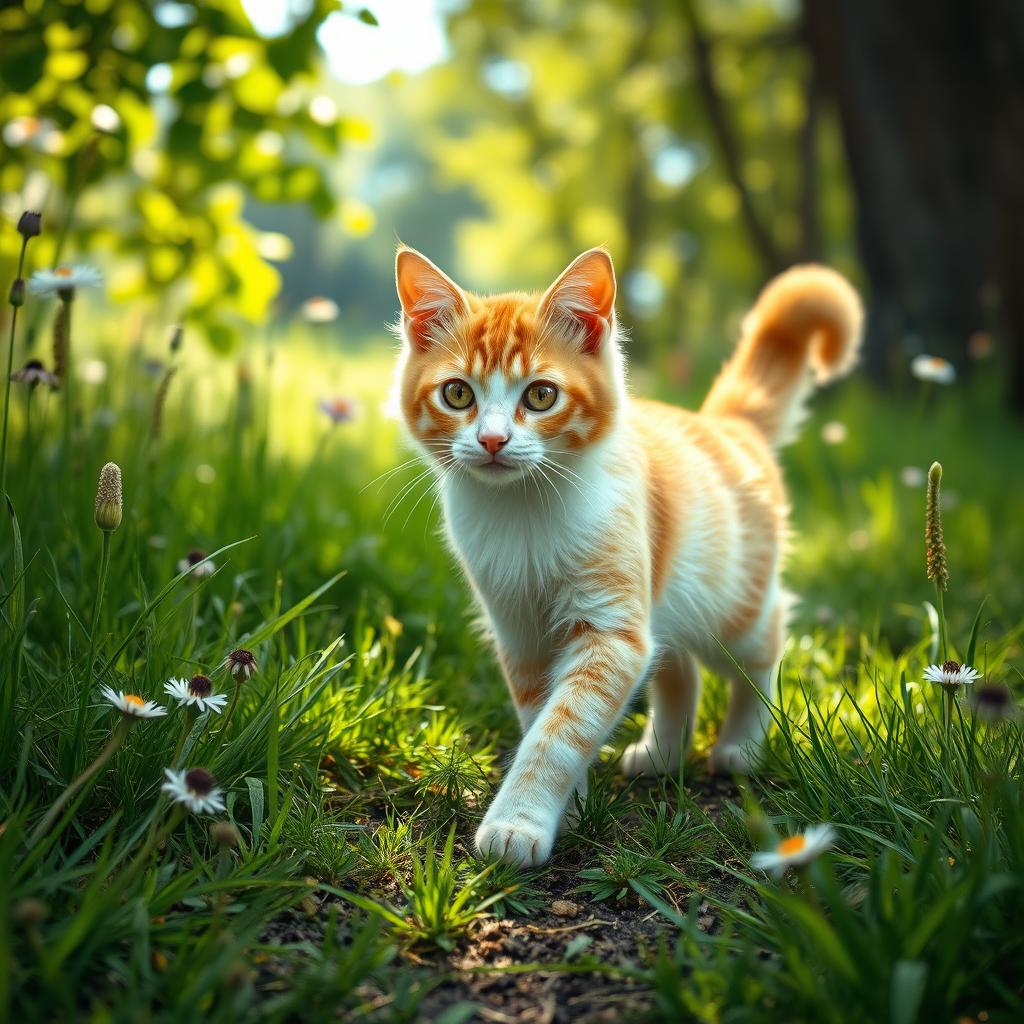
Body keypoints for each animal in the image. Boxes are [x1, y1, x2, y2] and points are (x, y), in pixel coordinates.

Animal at [391, 247, 864, 864]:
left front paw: (519, 822)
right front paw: (567, 809)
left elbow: (560, 731)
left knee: (764, 642)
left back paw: (741, 745)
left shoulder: (610, 629)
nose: (493, 441)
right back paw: (662, 754)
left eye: (540, 395)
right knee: (679, 667)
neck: (523, 511)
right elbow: (540, 716)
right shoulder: (520, 634)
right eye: (457, 394)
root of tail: (726, 424)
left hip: (732, 606)